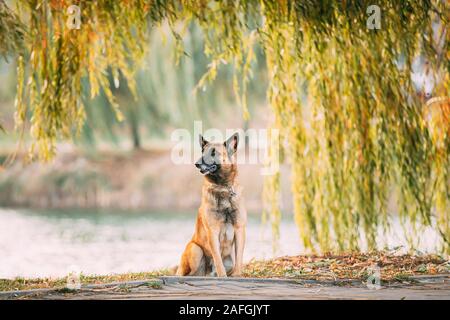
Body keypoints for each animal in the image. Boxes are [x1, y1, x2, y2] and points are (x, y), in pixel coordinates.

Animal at [176, 132, 246, 278]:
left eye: (214, 152)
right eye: (203, 151)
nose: (197, 164)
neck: (223, 188)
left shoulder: (240, 229)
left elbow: (239, 258)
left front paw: (237, 275)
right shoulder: (213, 231)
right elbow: (218, 259)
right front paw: (222, 276)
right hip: (196, 250)